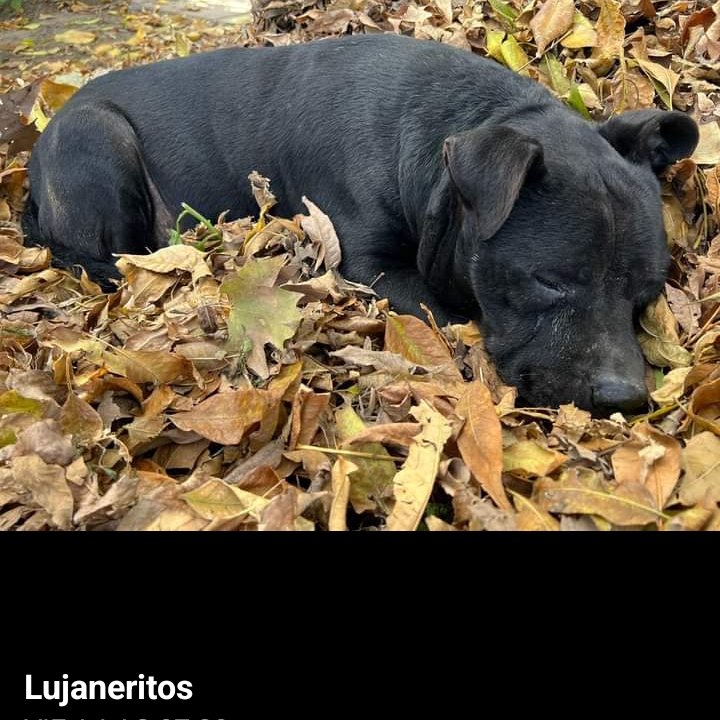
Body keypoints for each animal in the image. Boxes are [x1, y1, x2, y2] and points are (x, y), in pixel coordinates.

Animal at [22, 33, 696, 414]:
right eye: (549, 282)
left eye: (646, 293)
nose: (626, 397)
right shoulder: (373, 266)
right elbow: (447, 309)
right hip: (97, 134)